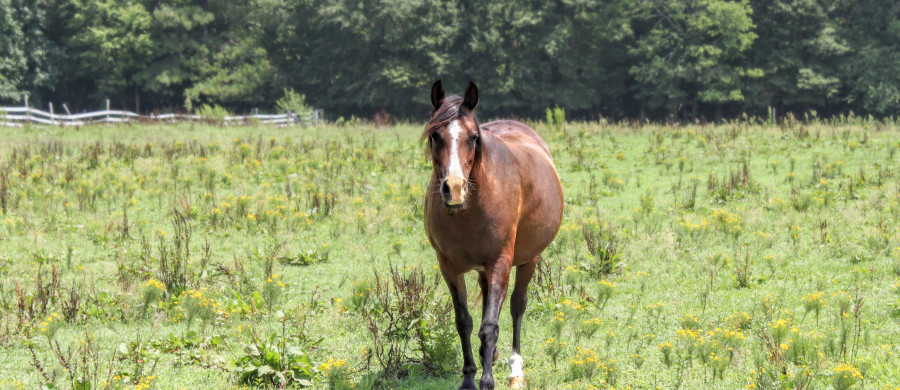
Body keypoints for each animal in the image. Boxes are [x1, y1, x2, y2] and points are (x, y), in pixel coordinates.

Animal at [424, 80, 564, 388]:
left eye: (473, 137)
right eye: (435, 136)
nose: (454, 189)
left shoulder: (500, 261)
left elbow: (490, 324)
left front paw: (487, 380)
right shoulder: (449, 267)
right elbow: (464, 321)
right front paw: (468, 377)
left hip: (527, 260)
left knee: (516, 306)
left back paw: (515, 369)